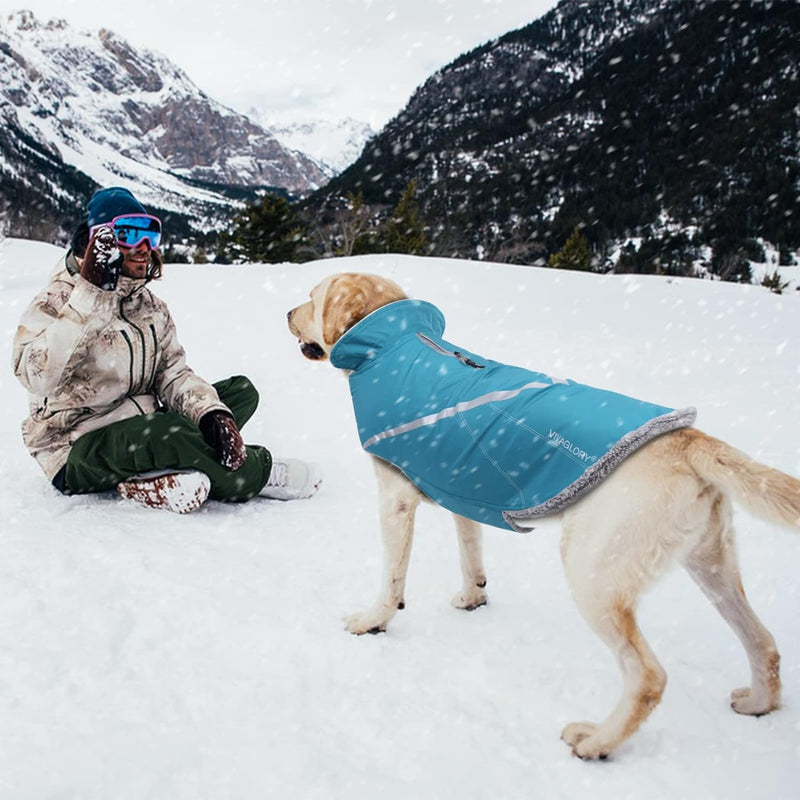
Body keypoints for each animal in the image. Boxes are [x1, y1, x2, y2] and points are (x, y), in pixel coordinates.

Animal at [288, 272, 800, 760]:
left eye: (313, 297)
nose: (288, 313)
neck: (396, 343)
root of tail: (689, 439)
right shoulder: (461, 492)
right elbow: (470, 553)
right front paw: (473, 597)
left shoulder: (395, 498)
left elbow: (392, 578)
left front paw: (373, 620)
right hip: (711, 565)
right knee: (764, 643)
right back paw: (758, 702)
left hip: (593, 574)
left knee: (649, 677)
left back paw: (598, 741)